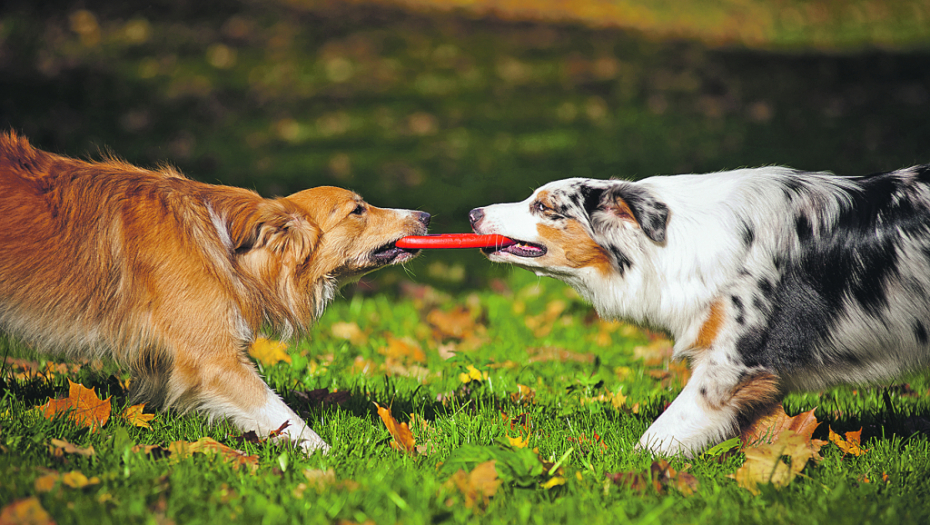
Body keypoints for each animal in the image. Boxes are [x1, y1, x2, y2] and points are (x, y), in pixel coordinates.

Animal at [0, 132, 428, 454]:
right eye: (358, 210)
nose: (424, 215)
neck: (231, 247)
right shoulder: (213, 360)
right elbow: (283, 415)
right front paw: (332, 460)